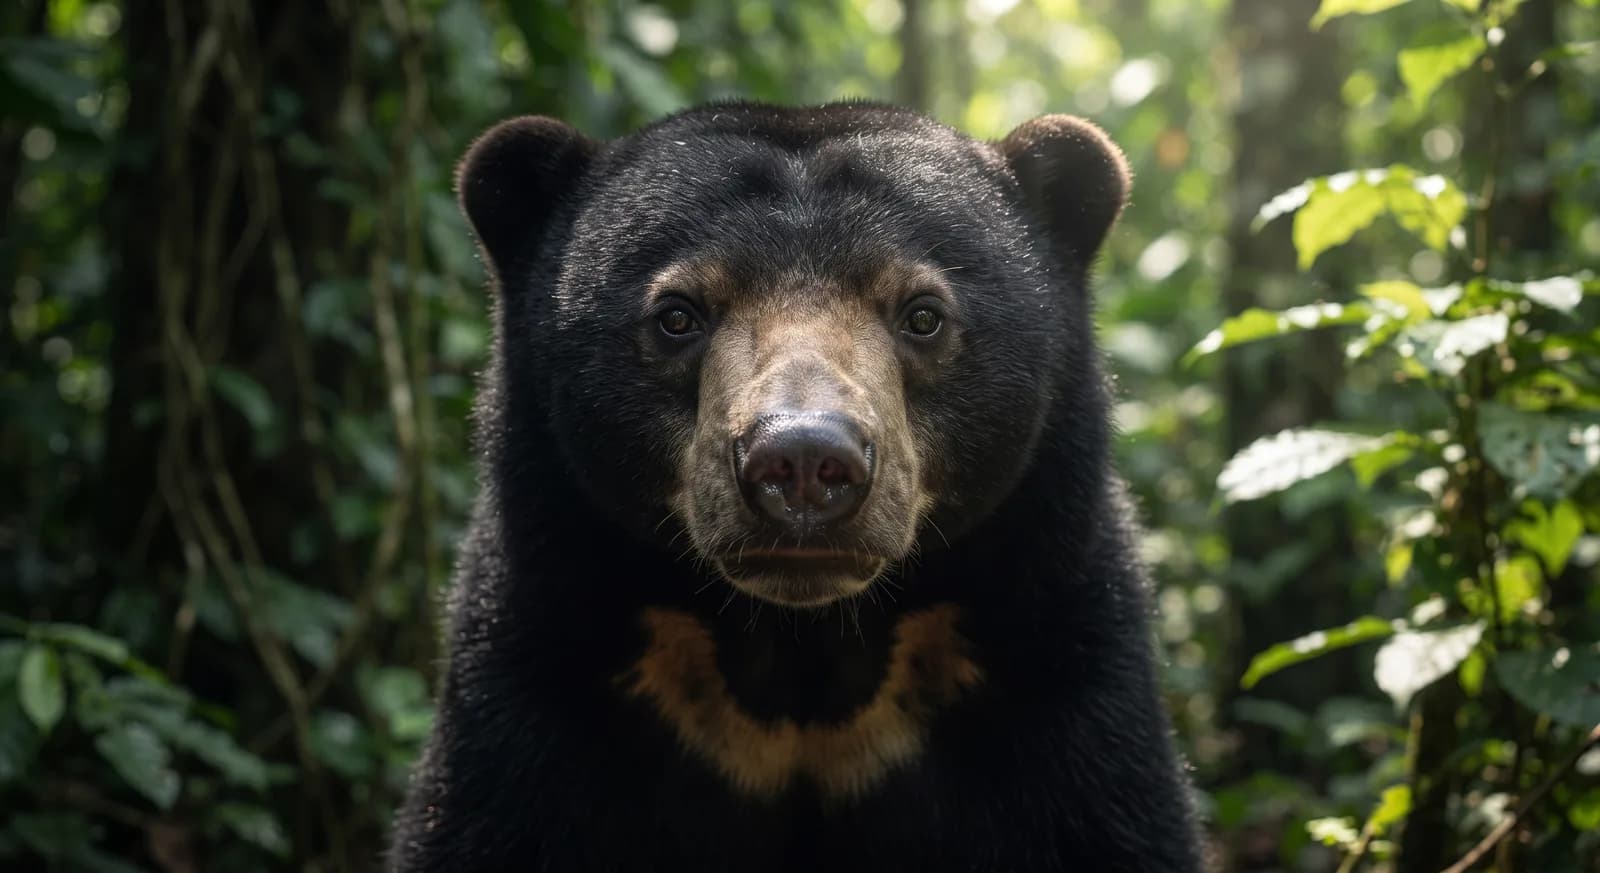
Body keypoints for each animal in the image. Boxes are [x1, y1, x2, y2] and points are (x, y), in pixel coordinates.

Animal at [388, 101, 1202, 872]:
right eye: (677, 314)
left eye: (923, 315)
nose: (804, 460)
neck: (798, 654)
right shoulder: (544, 667)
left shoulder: (1053, 661)